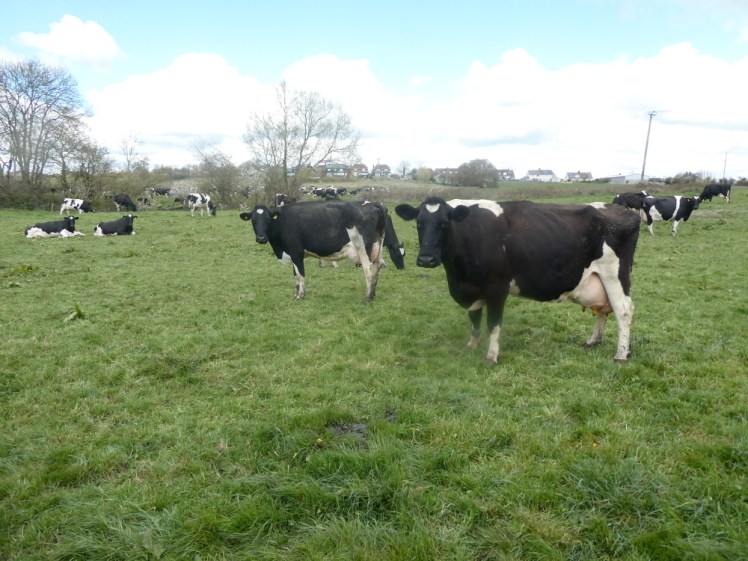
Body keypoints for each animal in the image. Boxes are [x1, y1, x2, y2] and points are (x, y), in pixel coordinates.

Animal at [239, 200, 387, 302]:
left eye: (268, 220)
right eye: (253, 221)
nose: (261, 238)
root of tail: (374, 204)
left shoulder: (296, 252)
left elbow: (300, 275)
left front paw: (301, 296)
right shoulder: (293, 255)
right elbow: (295, 275)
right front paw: (296, 294)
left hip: (363, 248)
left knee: (369, 272)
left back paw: (367, 298)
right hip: (377, 248)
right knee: (377, 268)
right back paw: (373, 295)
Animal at [395, 197, 641, 363]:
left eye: (445, 223)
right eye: (418, 223)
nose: (426, 259)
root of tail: (624, 210)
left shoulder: (497, 287)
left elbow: (493, 323)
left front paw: (491, 355)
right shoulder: (470, 289)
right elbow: (475, 319)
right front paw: (471, 345)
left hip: (615, 274)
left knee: (623, 310)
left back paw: (621, 354)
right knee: (603, 309)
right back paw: (593, 341)